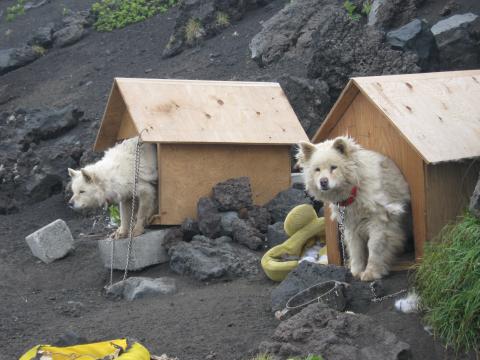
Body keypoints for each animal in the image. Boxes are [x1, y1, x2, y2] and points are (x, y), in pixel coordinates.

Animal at [296, 136, 412, 280]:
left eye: (333, 167)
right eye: (317, 169)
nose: (323, 182)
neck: (354, 193)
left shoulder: (379, 219)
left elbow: (375, 246)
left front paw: (371, 272)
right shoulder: (351, 224)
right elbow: (355, 247)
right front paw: (356, 270)